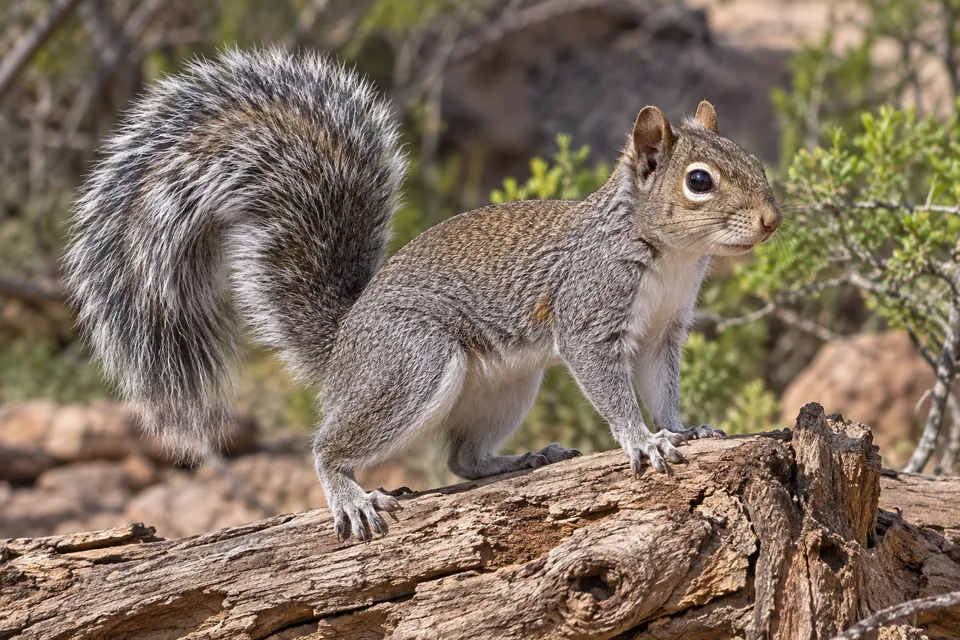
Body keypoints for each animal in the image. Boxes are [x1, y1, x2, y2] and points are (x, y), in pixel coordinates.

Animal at [64, 48, 782, 542]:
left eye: (755, 161)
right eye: (699, 181)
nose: (773, 221)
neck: (671, 257)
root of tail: (344, 342)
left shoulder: (665, 333)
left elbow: (662, 387)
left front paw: (686, 428)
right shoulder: (588, 308)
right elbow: (611, 387)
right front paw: (641, 440)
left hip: (503, 389)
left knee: (462, 459)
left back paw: (521, 458)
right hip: (412, 364)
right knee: (331, 446)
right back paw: (350, 494)